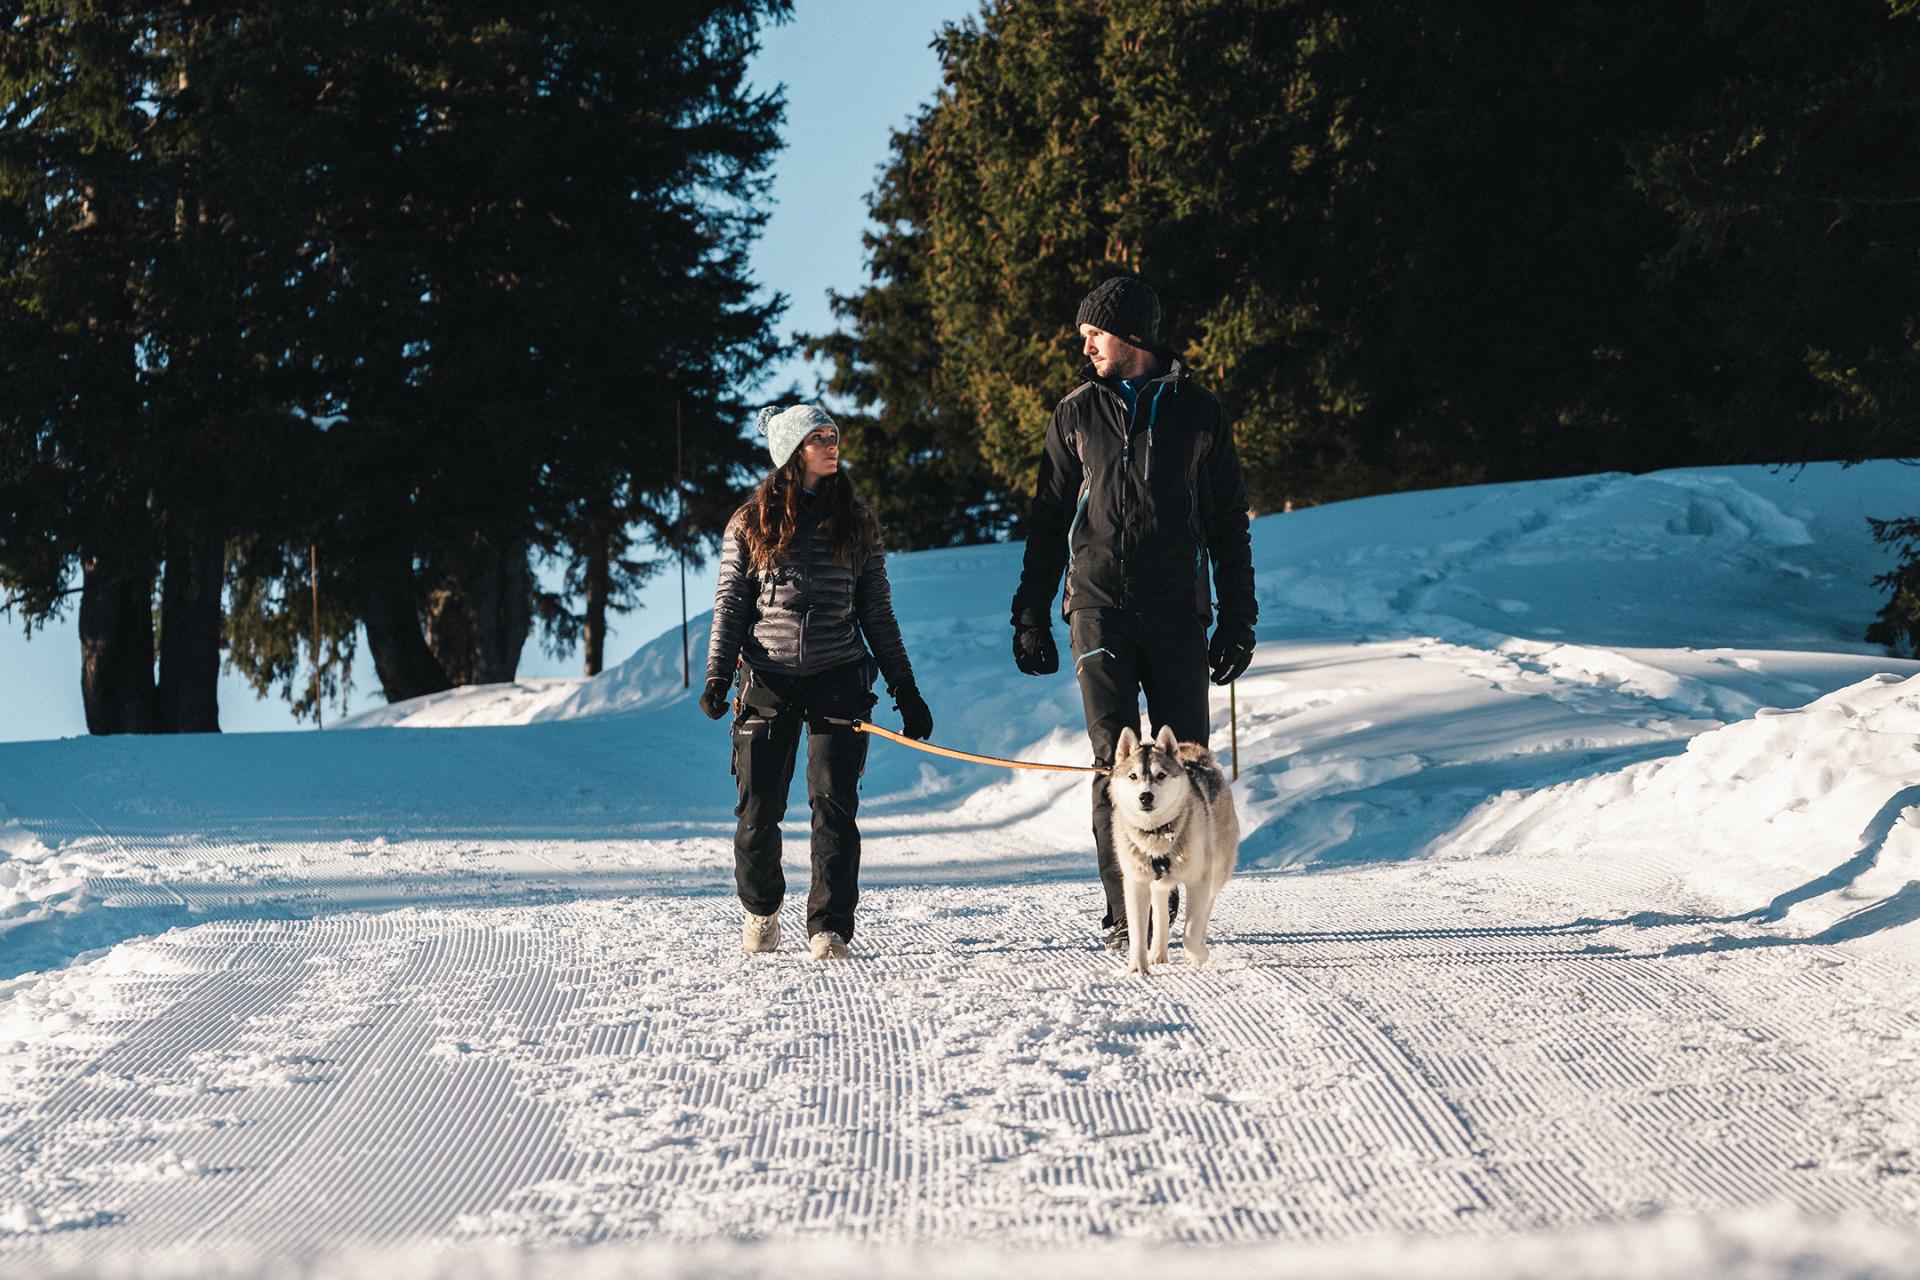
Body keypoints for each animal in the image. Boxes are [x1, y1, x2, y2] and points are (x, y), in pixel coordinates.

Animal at [1105, 725, 1236, 974]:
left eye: (1161, 775)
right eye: (1133, 776)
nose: (1145, 796)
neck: (1156, 832)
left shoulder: (1198, 879)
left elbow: (1191, 932)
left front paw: (1198, 955)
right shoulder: (1136, 883)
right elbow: (1138, 932)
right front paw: (1137, 970)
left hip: (1216, 870)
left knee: (1205, 909)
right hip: (1158, 884)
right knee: (1161, 914)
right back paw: (1157, 953)